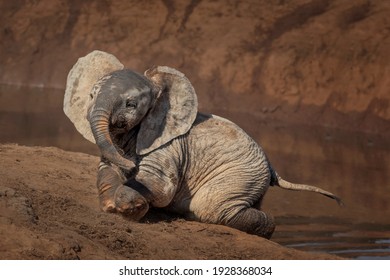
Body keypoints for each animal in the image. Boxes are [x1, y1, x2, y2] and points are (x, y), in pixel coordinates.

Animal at [64, 50, 342, 238]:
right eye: (91, 96)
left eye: (131, 105)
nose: (131, 163)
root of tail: (272, 168)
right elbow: (106, 171)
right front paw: (113, 203)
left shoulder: (169, 147)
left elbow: (160, 187)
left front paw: (132, 206)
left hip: (241, 174)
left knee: (210, 208)